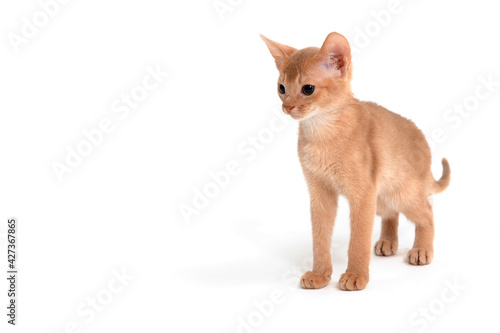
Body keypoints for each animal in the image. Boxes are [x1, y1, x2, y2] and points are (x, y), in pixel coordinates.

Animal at [262, 32, 450, 290]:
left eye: (308, 89)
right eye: (281, 88)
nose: (287, 106)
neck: (322, 133)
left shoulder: (363, 195)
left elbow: (358, 240)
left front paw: (355, 275)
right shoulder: (320, 194)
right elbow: (319, 238)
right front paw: (320, 274)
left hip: (402, 193)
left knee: (428, 212)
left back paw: (421, 250)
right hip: (381, 198)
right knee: (392, 214)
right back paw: (387, 242)